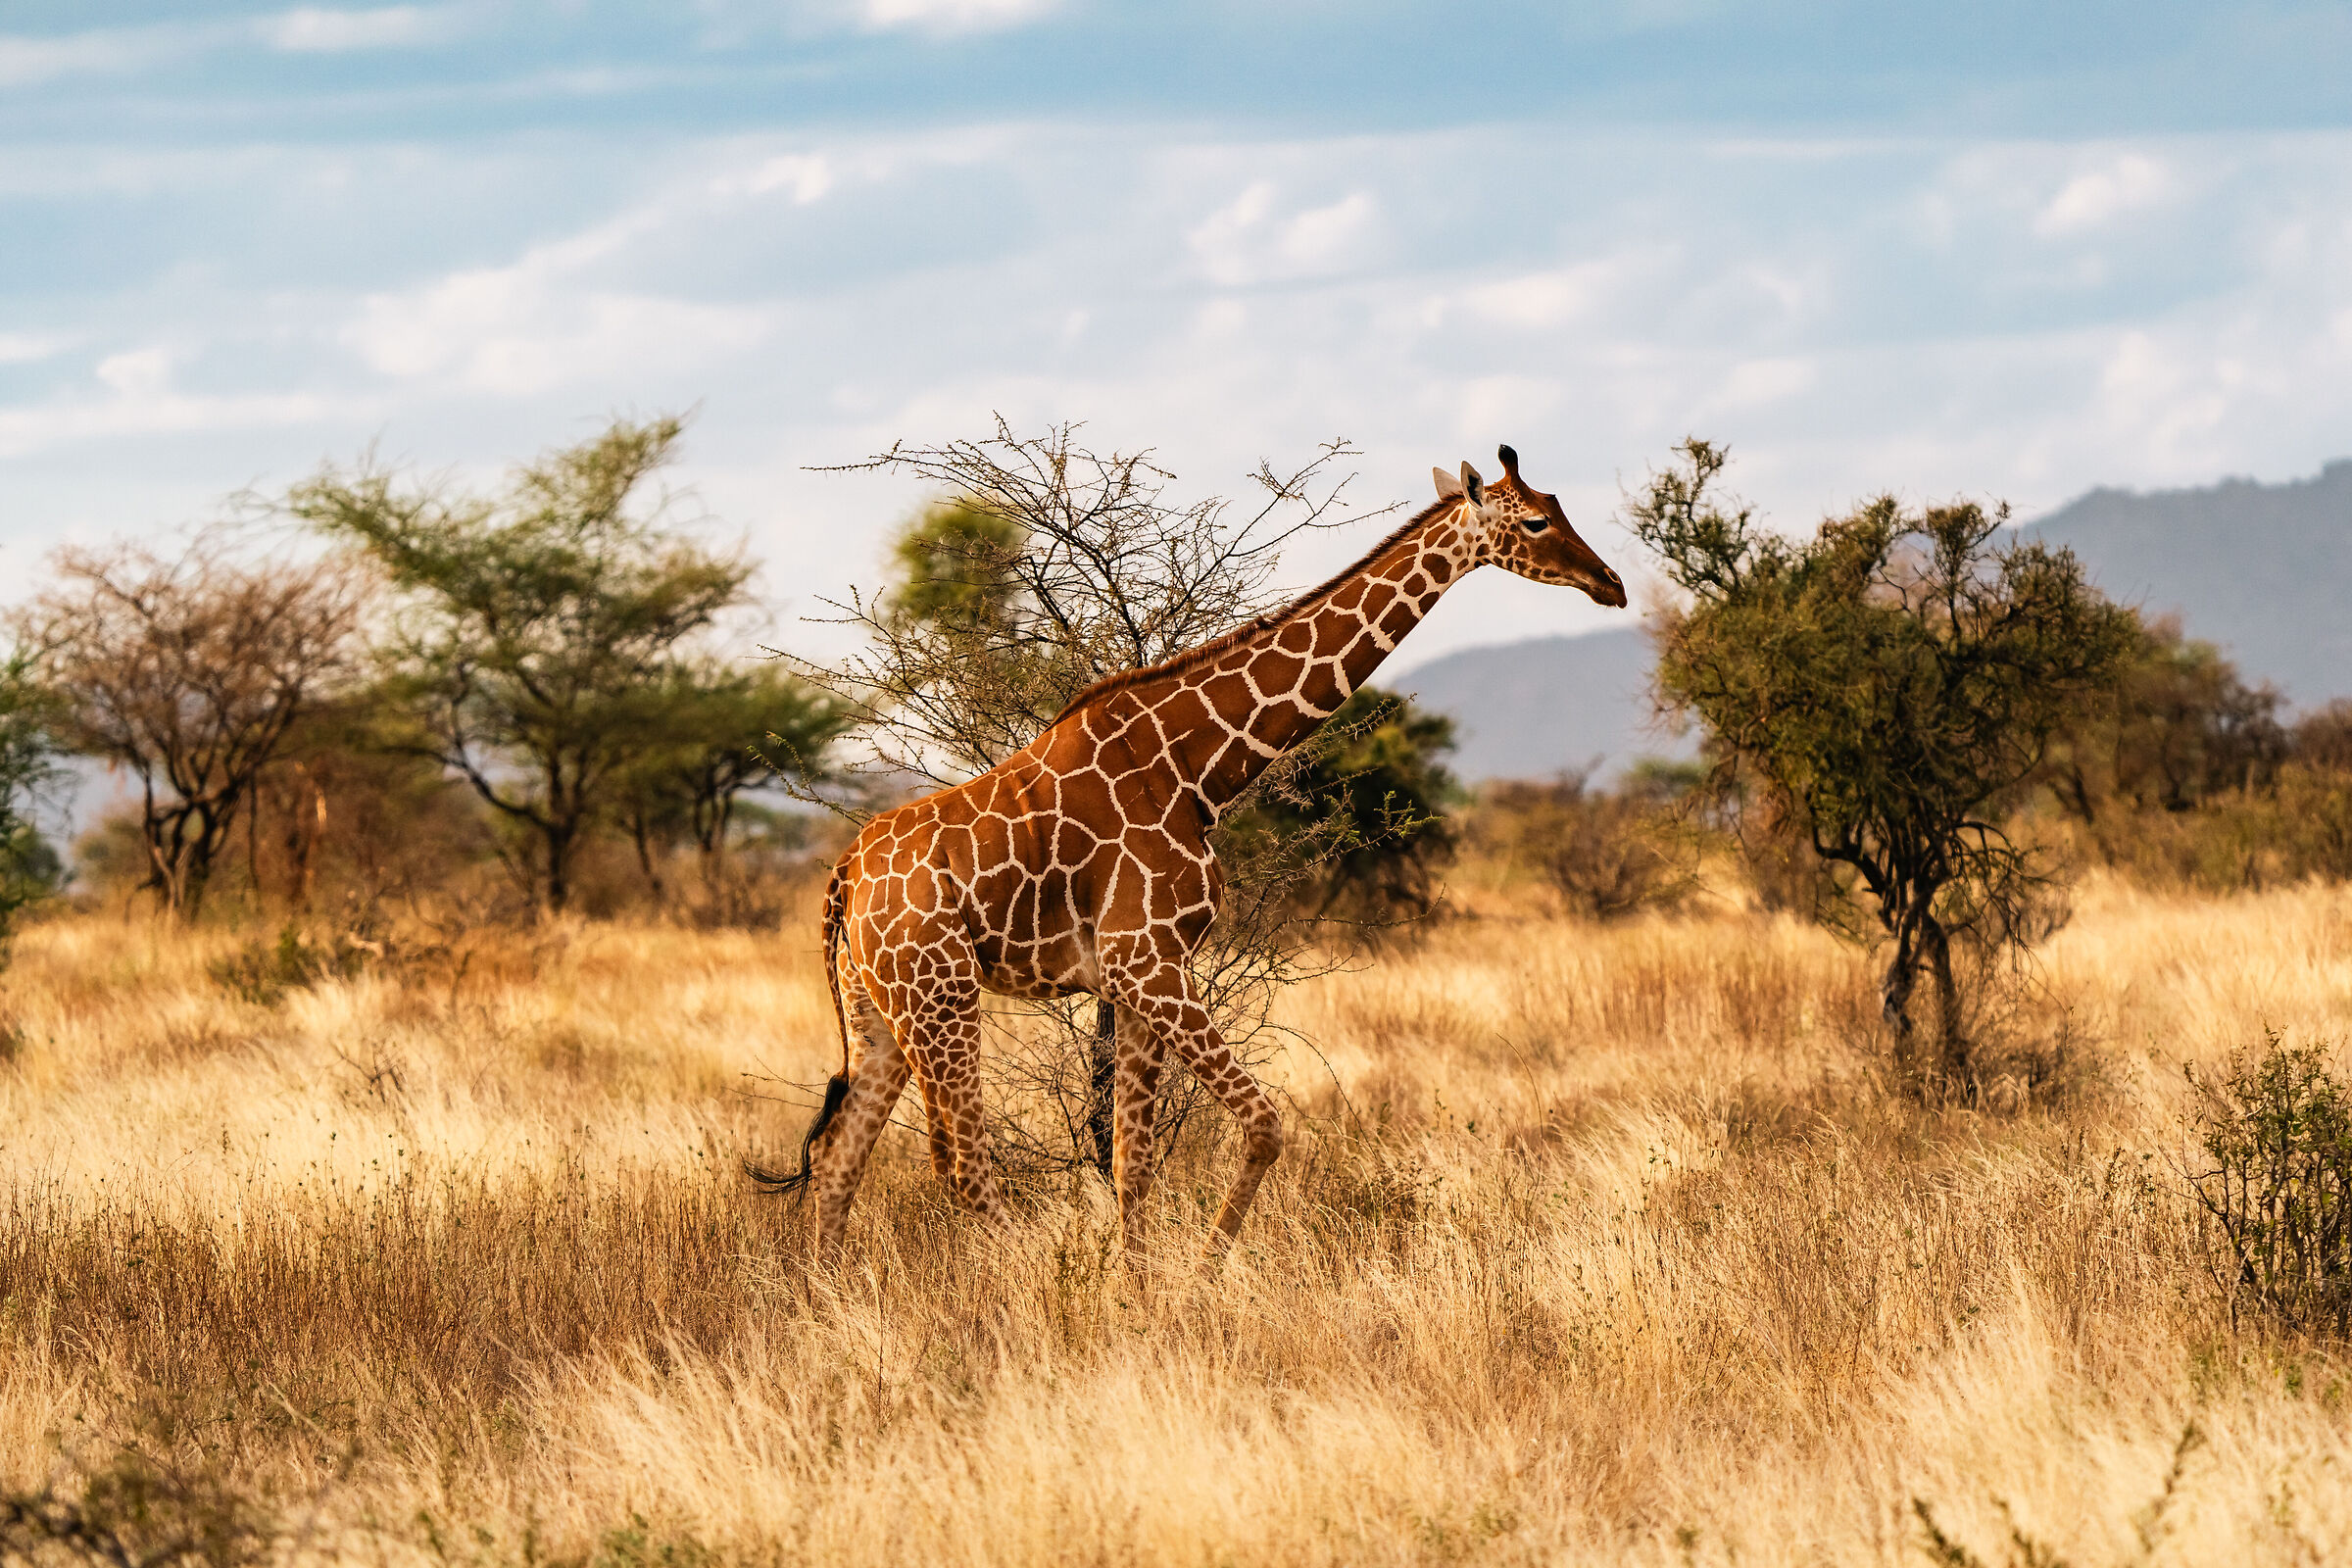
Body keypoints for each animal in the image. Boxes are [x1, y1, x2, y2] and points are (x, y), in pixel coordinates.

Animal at [754, 445, 1627, 1263]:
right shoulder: (1147, 960)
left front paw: (1140, 1295)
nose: (1611, 584)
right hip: (939, 995)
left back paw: (829, 1305)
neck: (1198, 766)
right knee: (959, 1162)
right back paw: (1033, 1281)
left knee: (839, 1157)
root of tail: (845, 876)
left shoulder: (1141, 975)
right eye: (1536, 522)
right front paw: (1200, 1274)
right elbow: (1265, 1126)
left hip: (877, 1009)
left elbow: (1133, 1161)